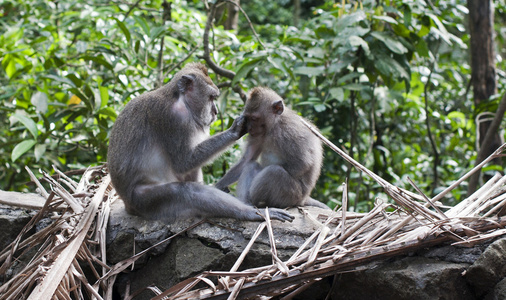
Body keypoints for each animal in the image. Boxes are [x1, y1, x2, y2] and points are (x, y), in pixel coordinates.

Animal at [108, 63, 294, 223]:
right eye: (211, 98)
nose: (215, 111)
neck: (179, 99)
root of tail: (127, 204)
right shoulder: (173, 119)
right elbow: (183, 163)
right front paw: (235, 130)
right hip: (144, 200)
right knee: (186, 192)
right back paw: (251, 213)